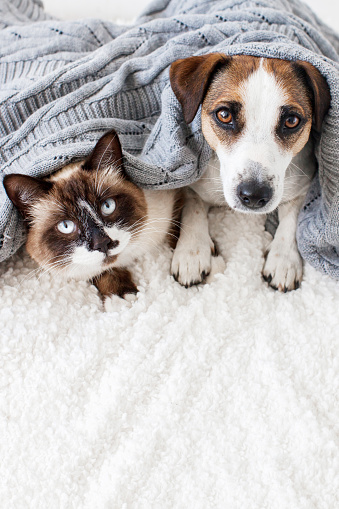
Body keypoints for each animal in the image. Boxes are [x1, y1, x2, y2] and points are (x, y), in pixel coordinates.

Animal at [3, 129, 183, 300]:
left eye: (107, 206)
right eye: (66, 226)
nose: (102, 243)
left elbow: (180, 228)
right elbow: (101, 272)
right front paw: (122, 297)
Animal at [170, 54, 332, 292]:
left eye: (291, 121)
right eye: (224, 115)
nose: (254, 195)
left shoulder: (301, 187)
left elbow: (292, 220)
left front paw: (283, 259)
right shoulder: (194, 184)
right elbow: (193, 207)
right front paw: (191, 251)